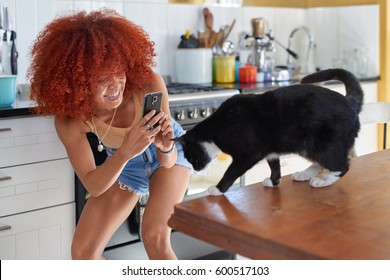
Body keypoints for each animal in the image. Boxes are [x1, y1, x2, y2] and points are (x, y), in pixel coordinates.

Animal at [175, 68, 364, 195]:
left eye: (190, 157)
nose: (195, 169)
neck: (216, 127)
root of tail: (350, 101)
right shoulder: (269, 150)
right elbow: (275, 166)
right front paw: (274, 181)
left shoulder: (249, 154)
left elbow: (230, 172)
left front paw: (218, 189)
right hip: (307, 147)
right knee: (322, 162)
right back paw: (304, 174)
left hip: (325, 146)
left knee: (342, 165)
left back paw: (323, 181)